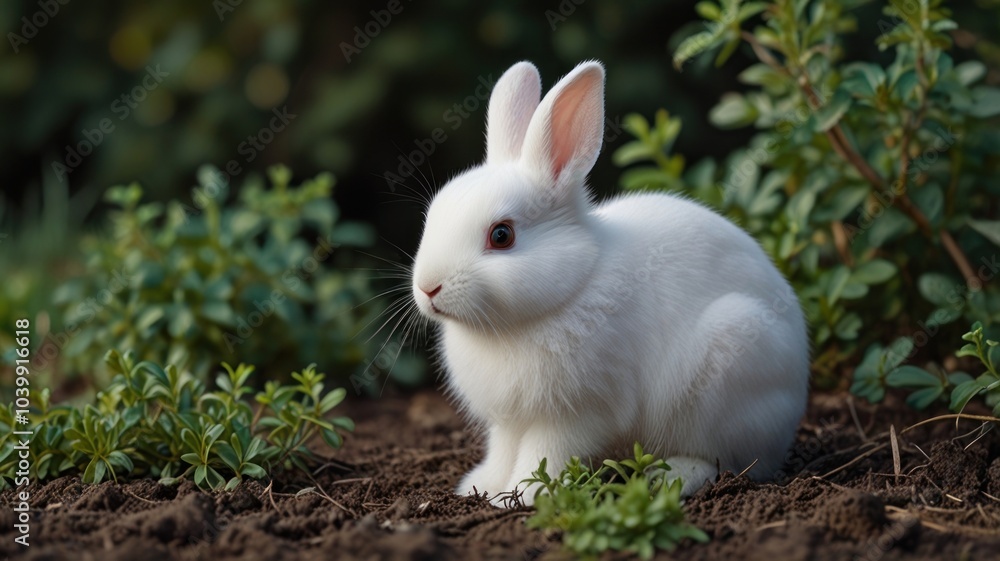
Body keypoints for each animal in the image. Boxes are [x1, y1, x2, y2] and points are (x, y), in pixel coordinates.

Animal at [410, 60, 810, 505]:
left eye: (502, 235)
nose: (428, 288)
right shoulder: (509, 421)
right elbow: (503, 451)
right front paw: (481, 487)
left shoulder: (578, 414)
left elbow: (544, 456)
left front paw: (523, 496)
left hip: (728, 360)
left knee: (722, 459)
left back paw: (670, 477)